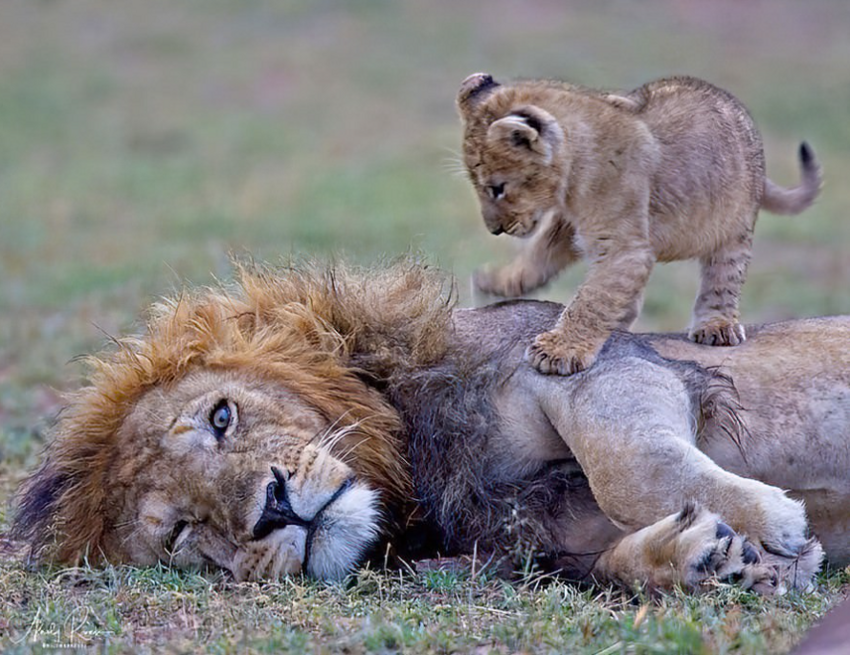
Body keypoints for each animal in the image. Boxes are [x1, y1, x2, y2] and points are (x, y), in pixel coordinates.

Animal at [9, 262, 844, 596]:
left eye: (222, 416)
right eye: (182, 531)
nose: (272, 509)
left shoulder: (582, 360)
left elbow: (627, 464)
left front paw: (772, 520)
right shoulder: (543, 542)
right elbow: (614, 557)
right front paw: (715, 558)